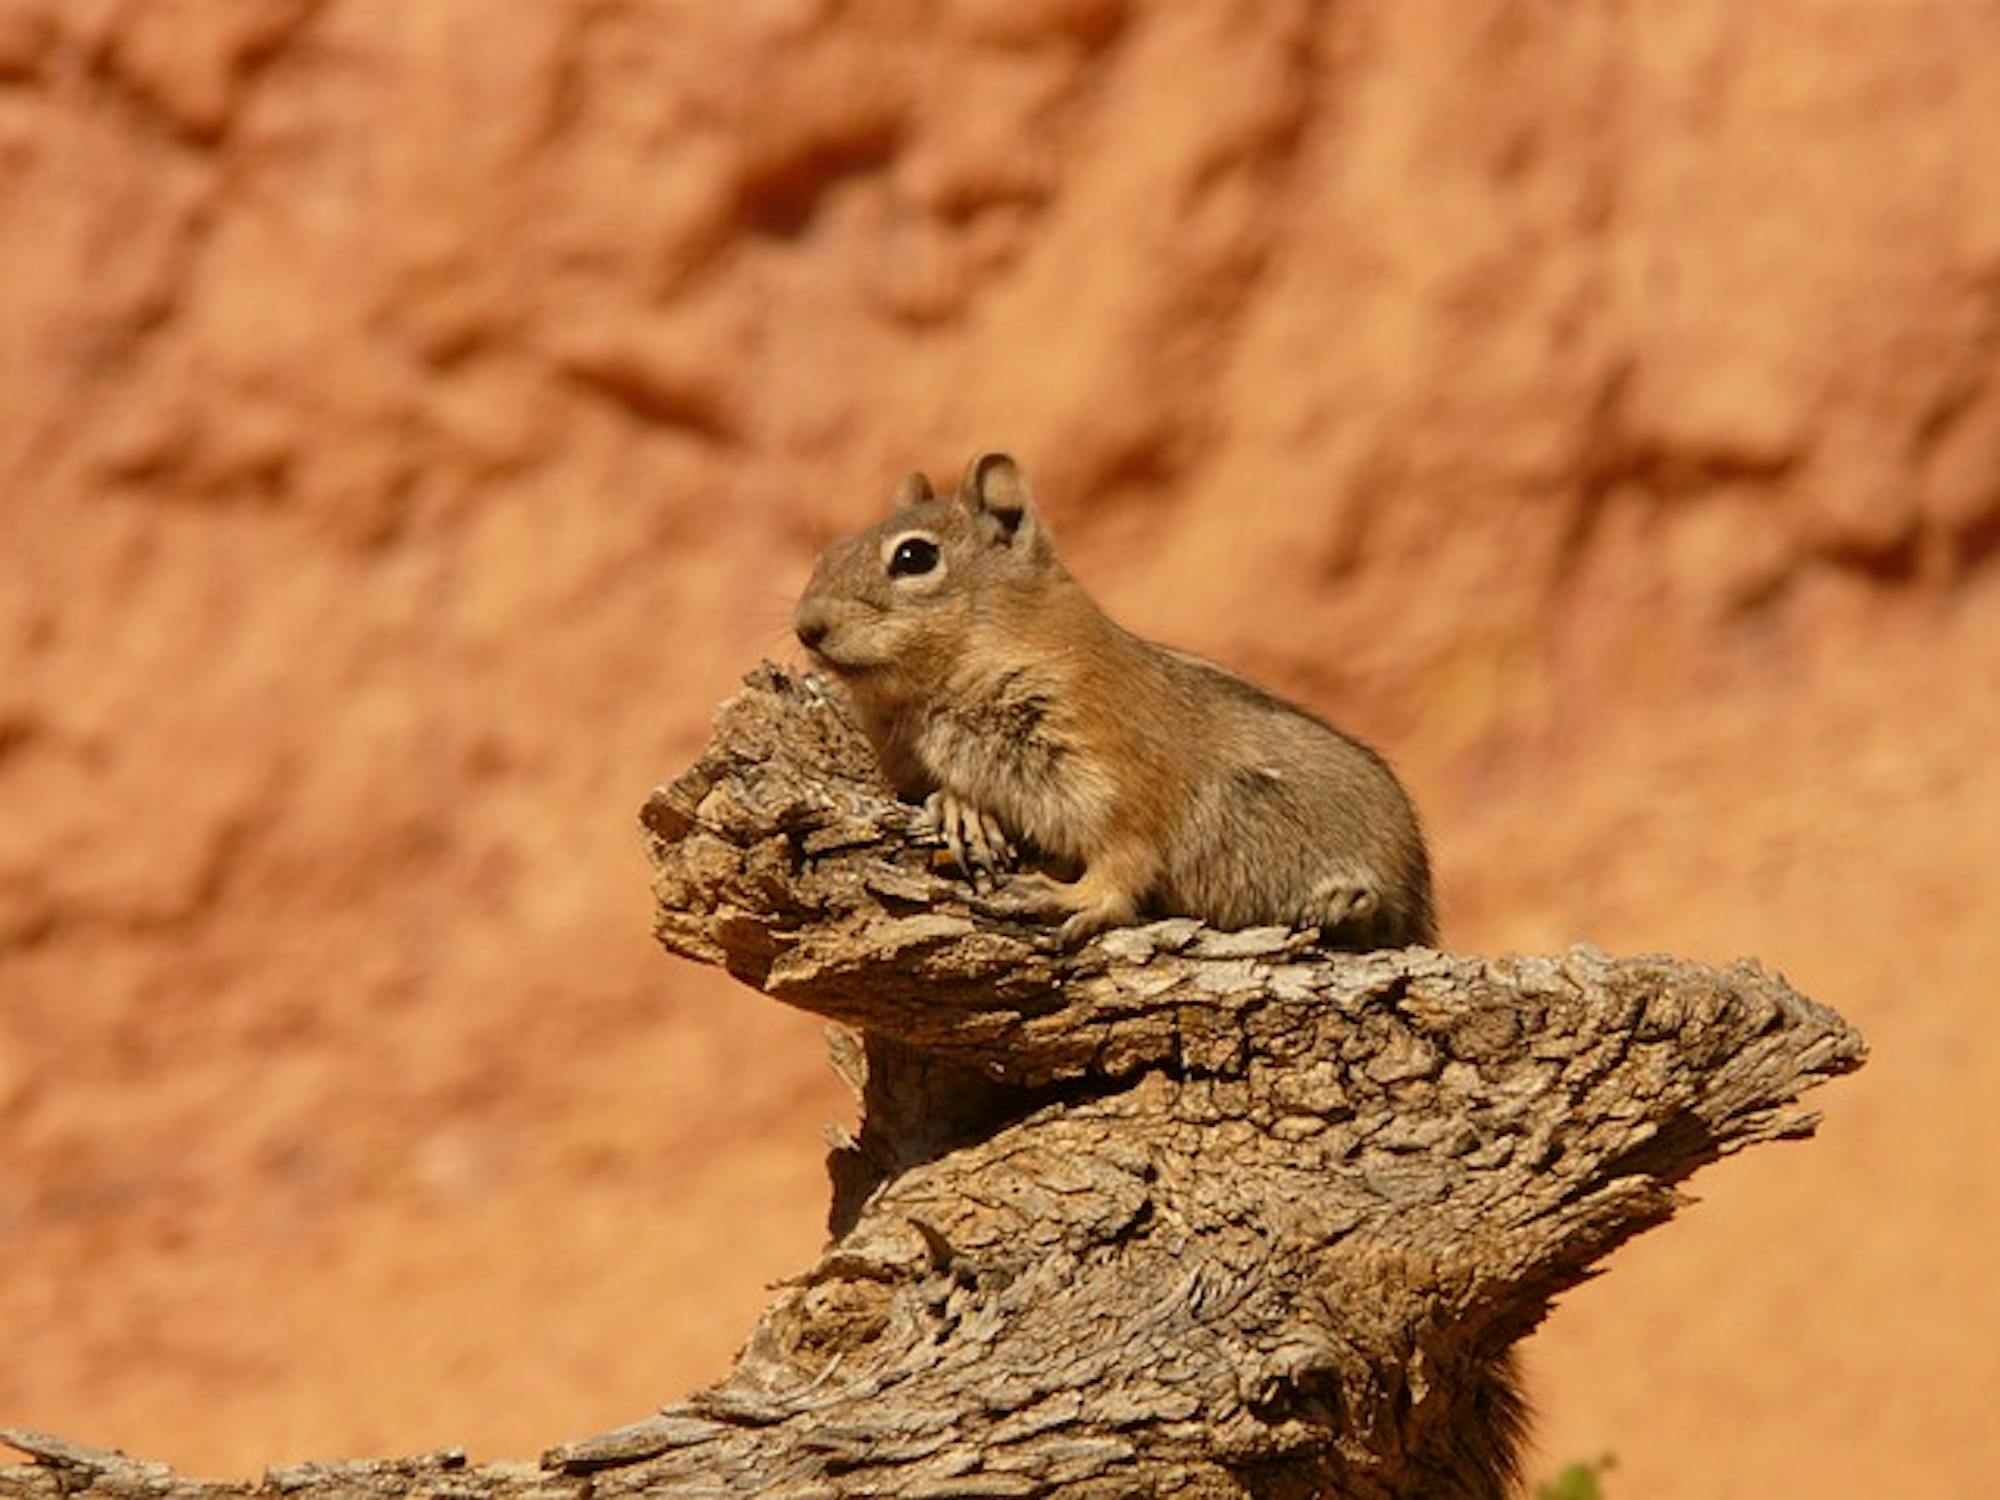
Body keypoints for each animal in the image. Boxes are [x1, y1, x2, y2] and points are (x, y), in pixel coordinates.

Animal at [793, 452, 1436, 950]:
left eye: (914, 557)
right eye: (828, 551)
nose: (806, 627)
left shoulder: (1126, 780)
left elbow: (1125, 860)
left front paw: (1070, 897)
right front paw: (961, 809)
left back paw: (1348, 903)